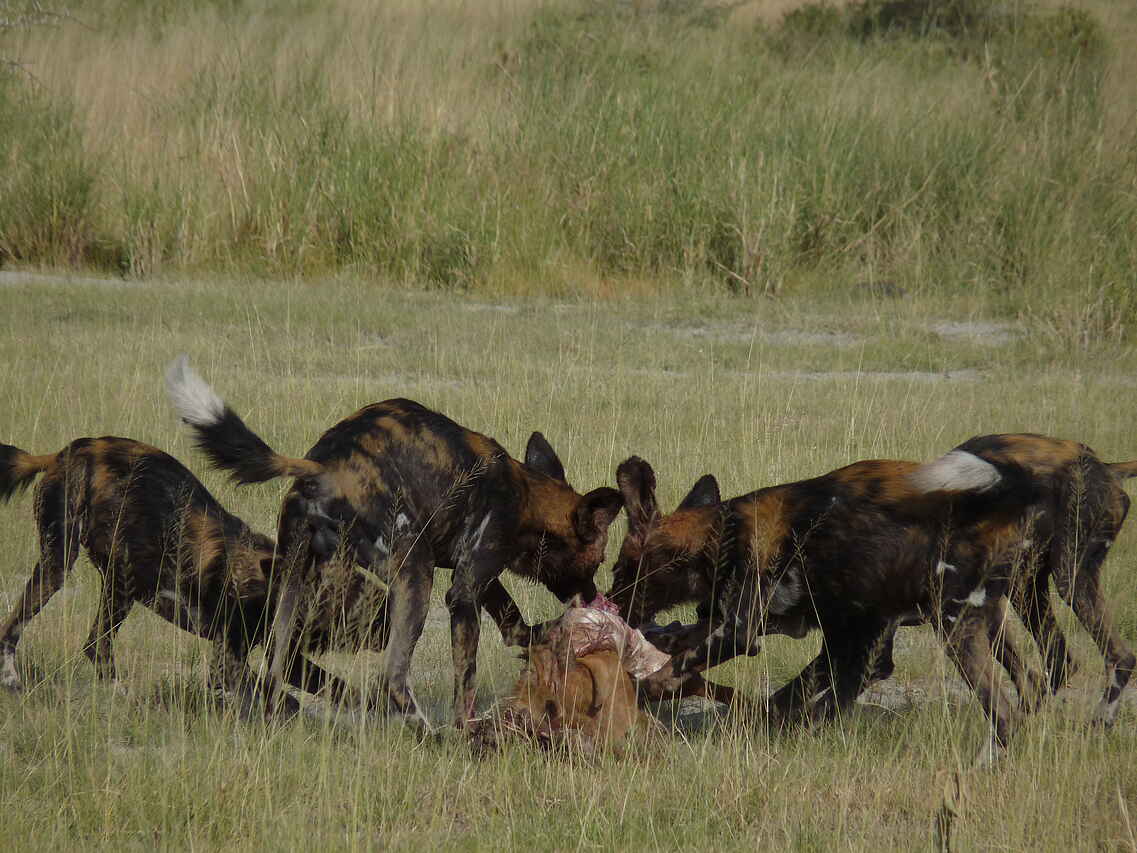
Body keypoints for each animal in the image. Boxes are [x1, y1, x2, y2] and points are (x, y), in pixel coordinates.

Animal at [165, 356, 623, 729]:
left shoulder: (476, 579)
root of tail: (322, 466)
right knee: (393, 679)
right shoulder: (464, 590)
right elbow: (466, 680)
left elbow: (514, 627)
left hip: (296, 585)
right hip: (413, 575)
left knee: (278, 668)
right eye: (598, 560)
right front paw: (466, 730)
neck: (526, 494)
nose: (594, 596)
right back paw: (427, 732)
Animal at [607, 447, 1070, 759]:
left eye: (619, 570)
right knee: (1032, 679)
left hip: (946, 625)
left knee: (1003, 712)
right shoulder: (817, 633)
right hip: (983, 619)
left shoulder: (742, 630)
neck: (719, 536)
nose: (611, 604)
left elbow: (676, 670)